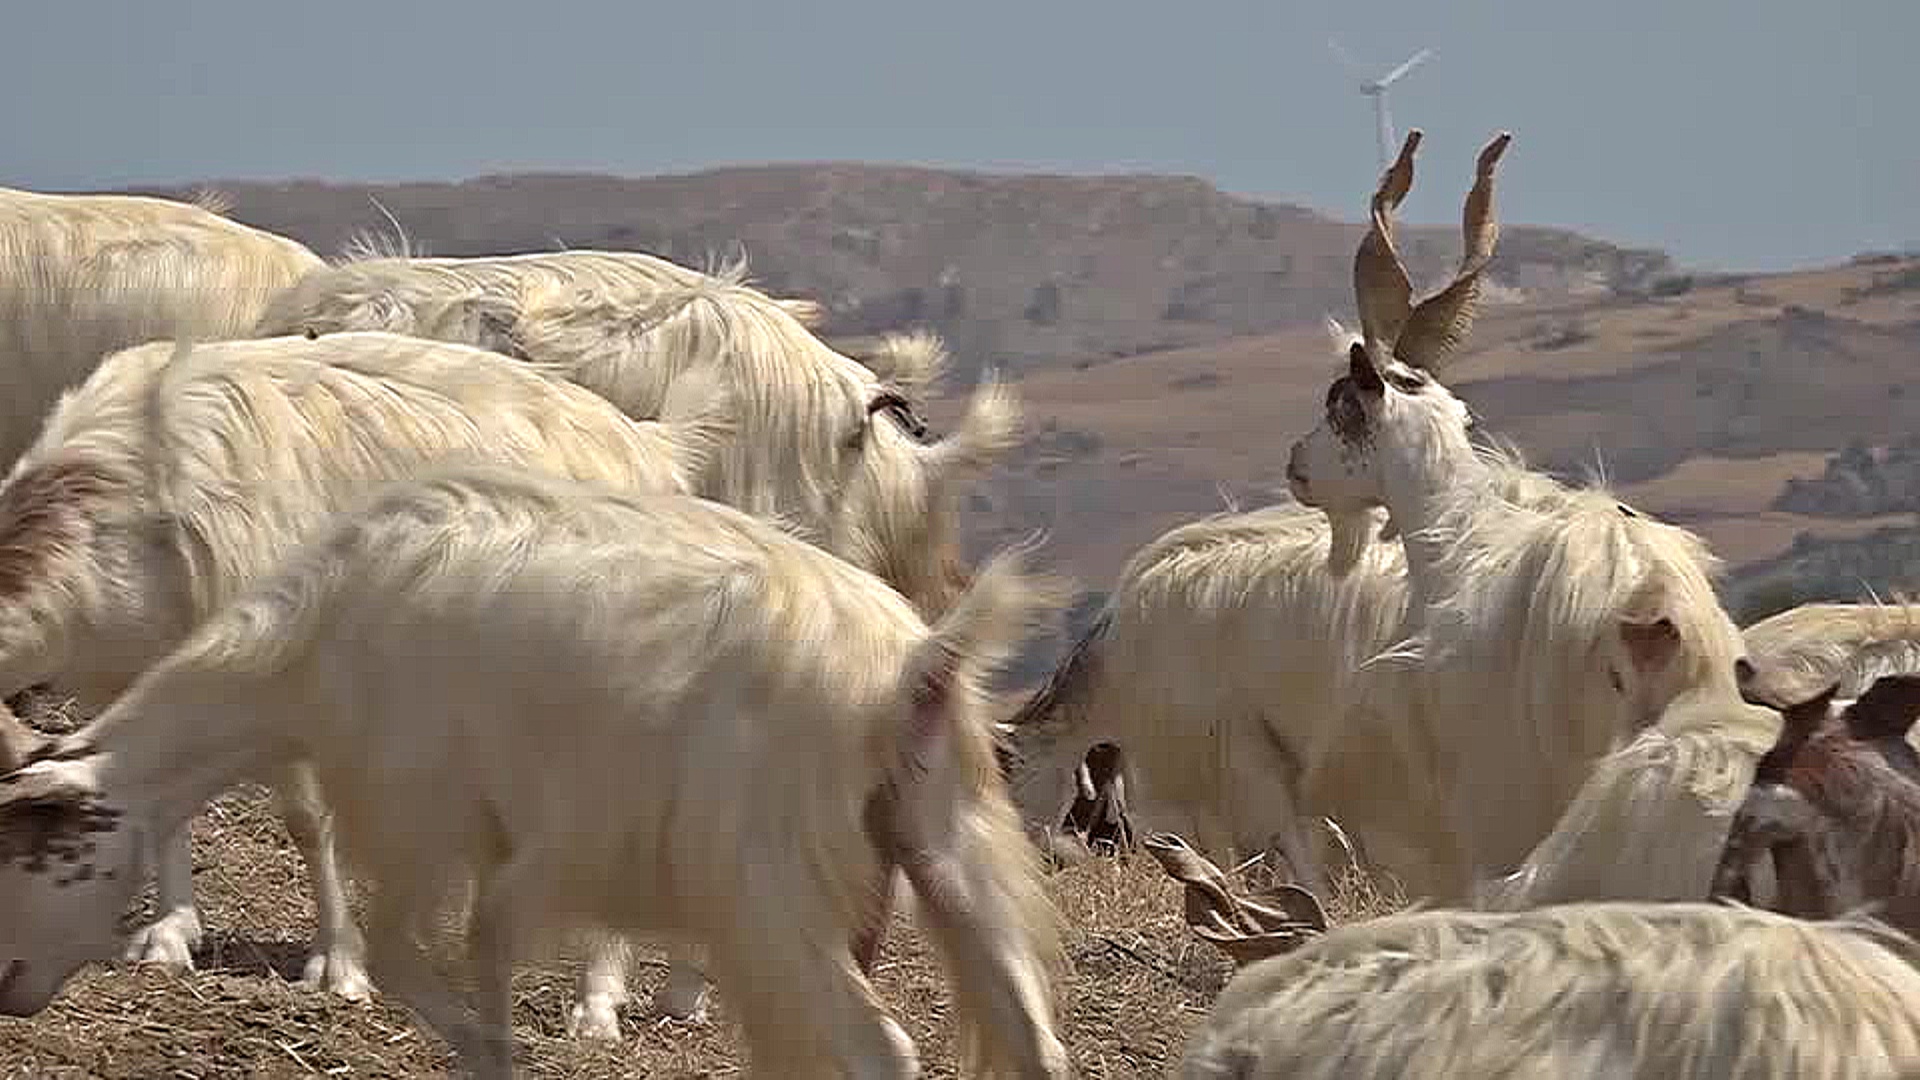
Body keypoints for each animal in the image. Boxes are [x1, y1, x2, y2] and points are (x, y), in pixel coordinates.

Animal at [0, 332, 721, 1006]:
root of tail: (652, 446)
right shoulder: (128, 675)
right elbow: (156, 800)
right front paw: (169, 937)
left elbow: (307, 819)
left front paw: (339, 965)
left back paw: (602, 998)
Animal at [0, 463, 1075, 1076]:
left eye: (33, 854)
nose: (7, 989)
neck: (298, 654)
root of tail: (914, 665)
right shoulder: (509, 846)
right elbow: (484, 959)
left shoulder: (418, 819)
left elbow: (401, 959)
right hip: (957, 852)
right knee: (1037, 1044)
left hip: (768, 891)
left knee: (877, 1053)